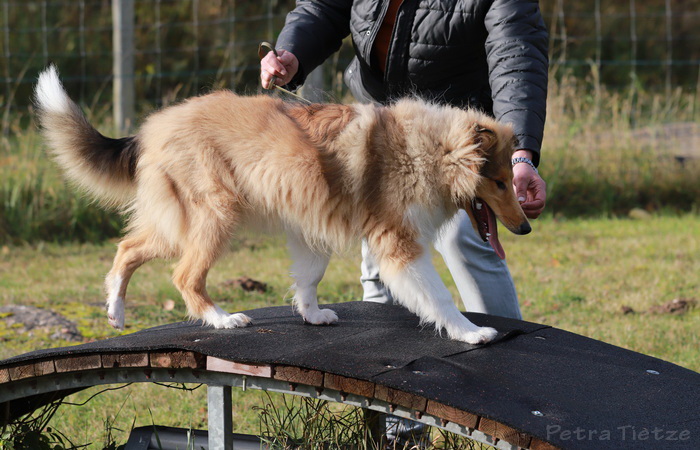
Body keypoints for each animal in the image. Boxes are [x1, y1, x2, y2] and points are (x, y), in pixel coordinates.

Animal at [34, 66, 530, 344]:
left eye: (512, 181)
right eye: (499, 182)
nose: (526, 228)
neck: (428, 149)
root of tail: (149, 129)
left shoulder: (312, 225)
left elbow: (309, 277)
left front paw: (312, 315)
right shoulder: (399, 243)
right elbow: (440, 296)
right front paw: (472, 333)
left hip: (178, 221)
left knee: (128, 249)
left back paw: (116, 311)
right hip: (215, 214)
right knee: (184, 275)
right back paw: (222, 319)